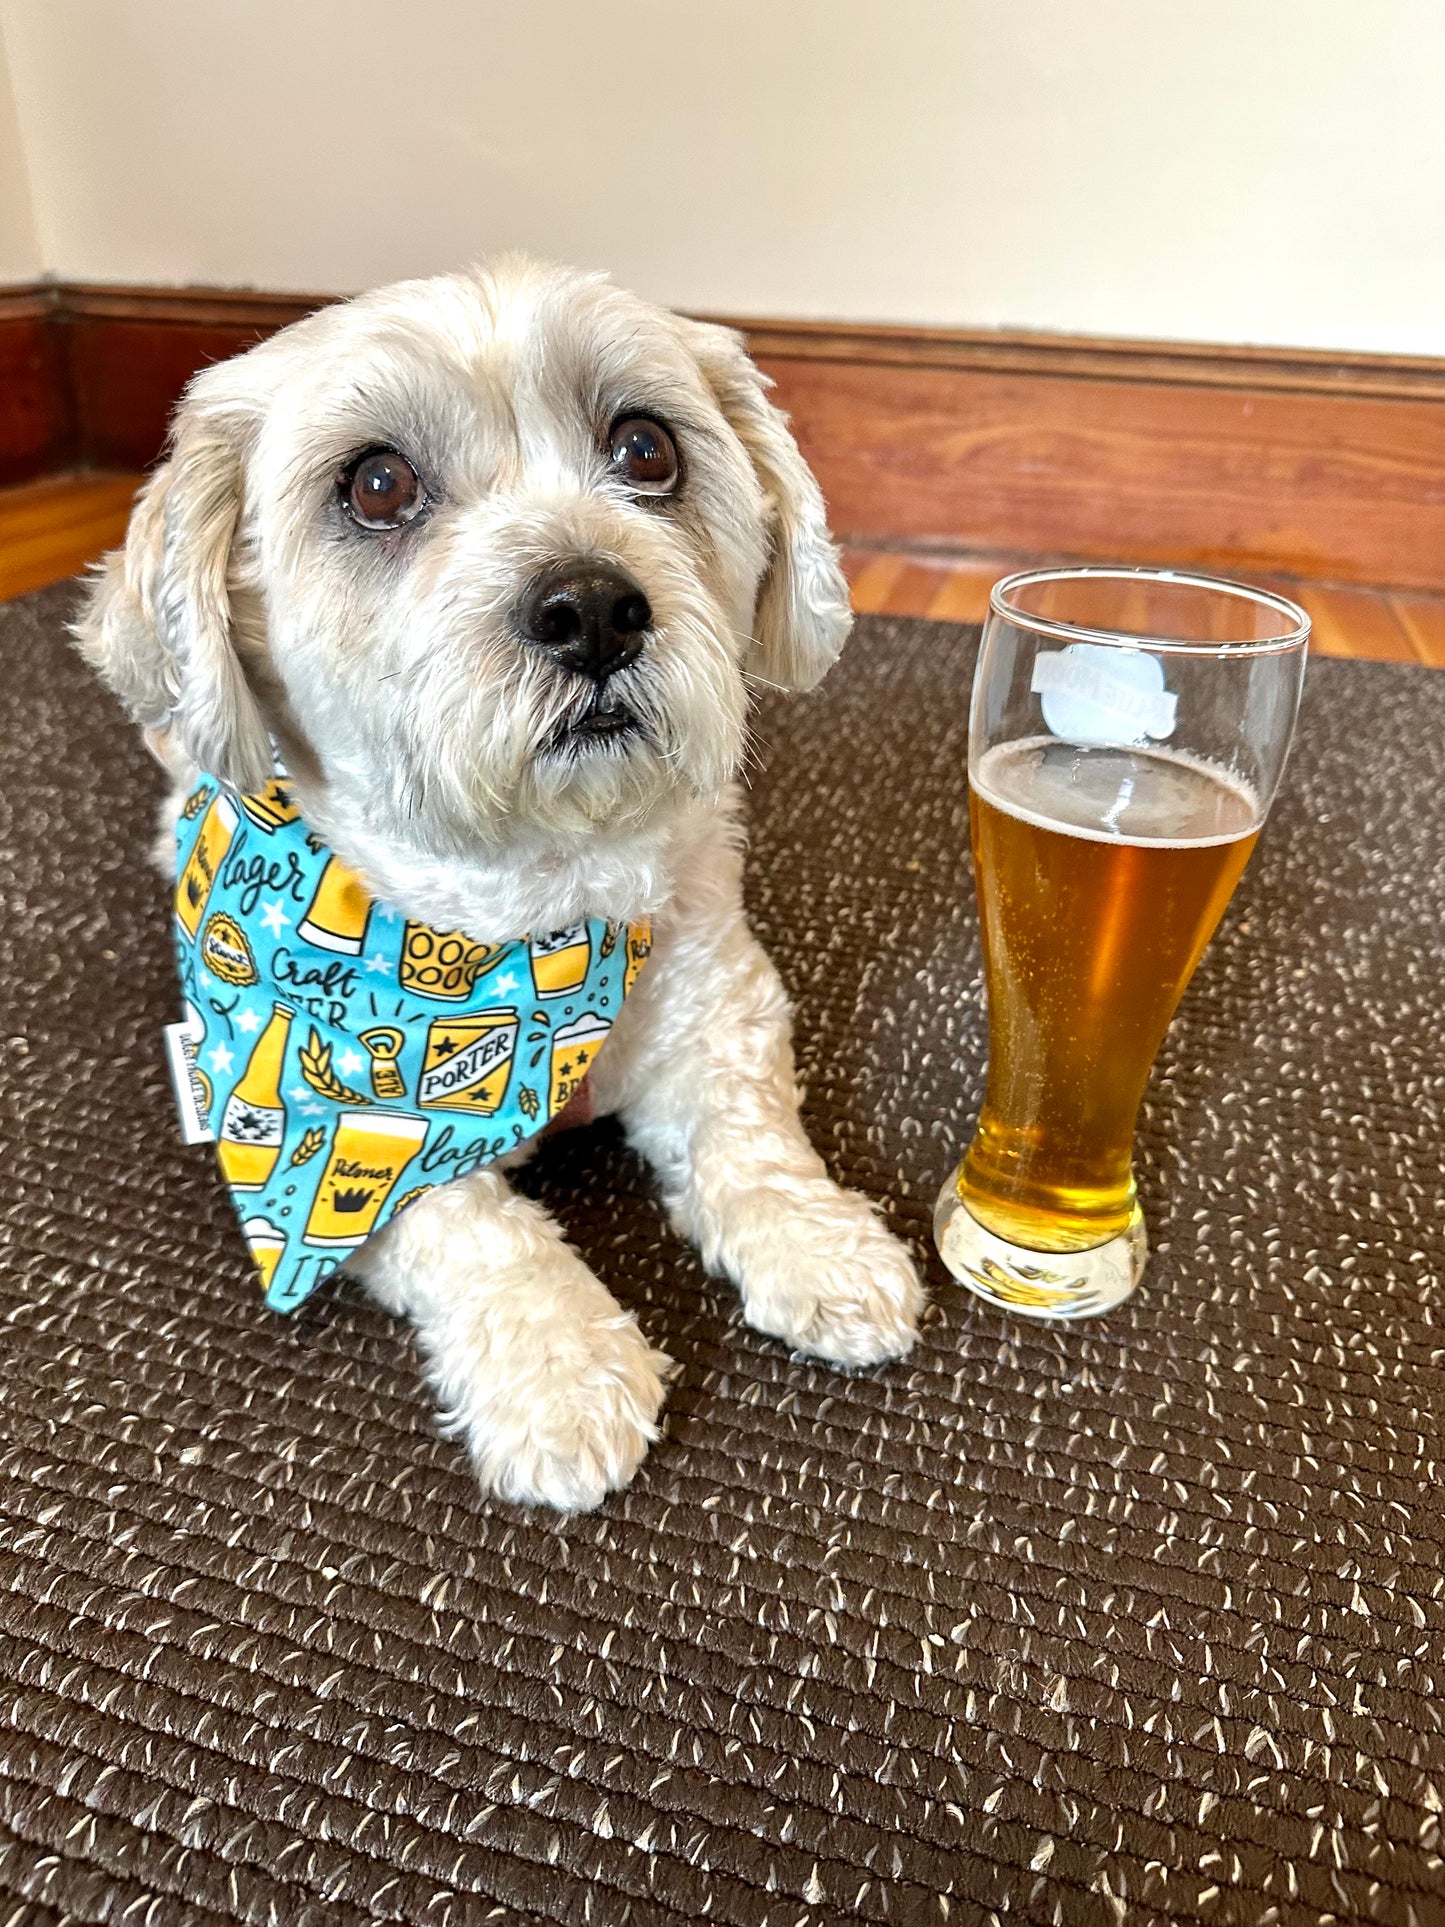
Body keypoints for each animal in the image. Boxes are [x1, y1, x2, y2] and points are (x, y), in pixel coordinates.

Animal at [76, 256, 928, 1510]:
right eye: (377, 483)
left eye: (644, 446)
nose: (594, 607)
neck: (534, 919)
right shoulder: (333, 1141)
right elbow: (474, 1234)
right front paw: (560, 1372)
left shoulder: (722, 1014)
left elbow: (750, 1136)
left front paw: (819, 1240)